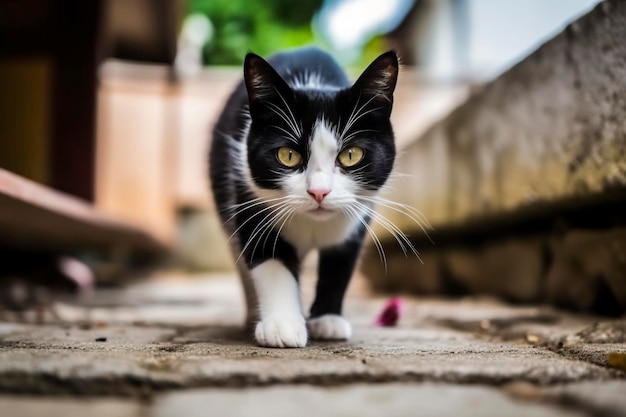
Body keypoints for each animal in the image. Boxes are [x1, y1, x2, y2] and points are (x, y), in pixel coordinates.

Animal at [210, 47, 398, 346]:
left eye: (351, 154)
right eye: (288, 155)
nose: (319, 191)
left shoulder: (359, 214)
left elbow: (339, 265)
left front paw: (327, 319)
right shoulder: (248, 194)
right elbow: (270, 259)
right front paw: (282, 325)